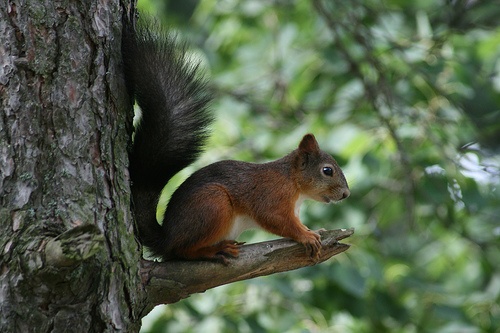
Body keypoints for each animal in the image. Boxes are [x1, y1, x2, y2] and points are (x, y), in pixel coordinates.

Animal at [121, 19, 350, 264]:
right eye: (327, 170)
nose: (346, 194)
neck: (293, 181)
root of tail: (166, 238)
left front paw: (313, 230)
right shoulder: (271, 195)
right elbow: (275, 220)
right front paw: (305, 235)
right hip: (213, 204)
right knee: (182, 251)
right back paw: (213, 250)